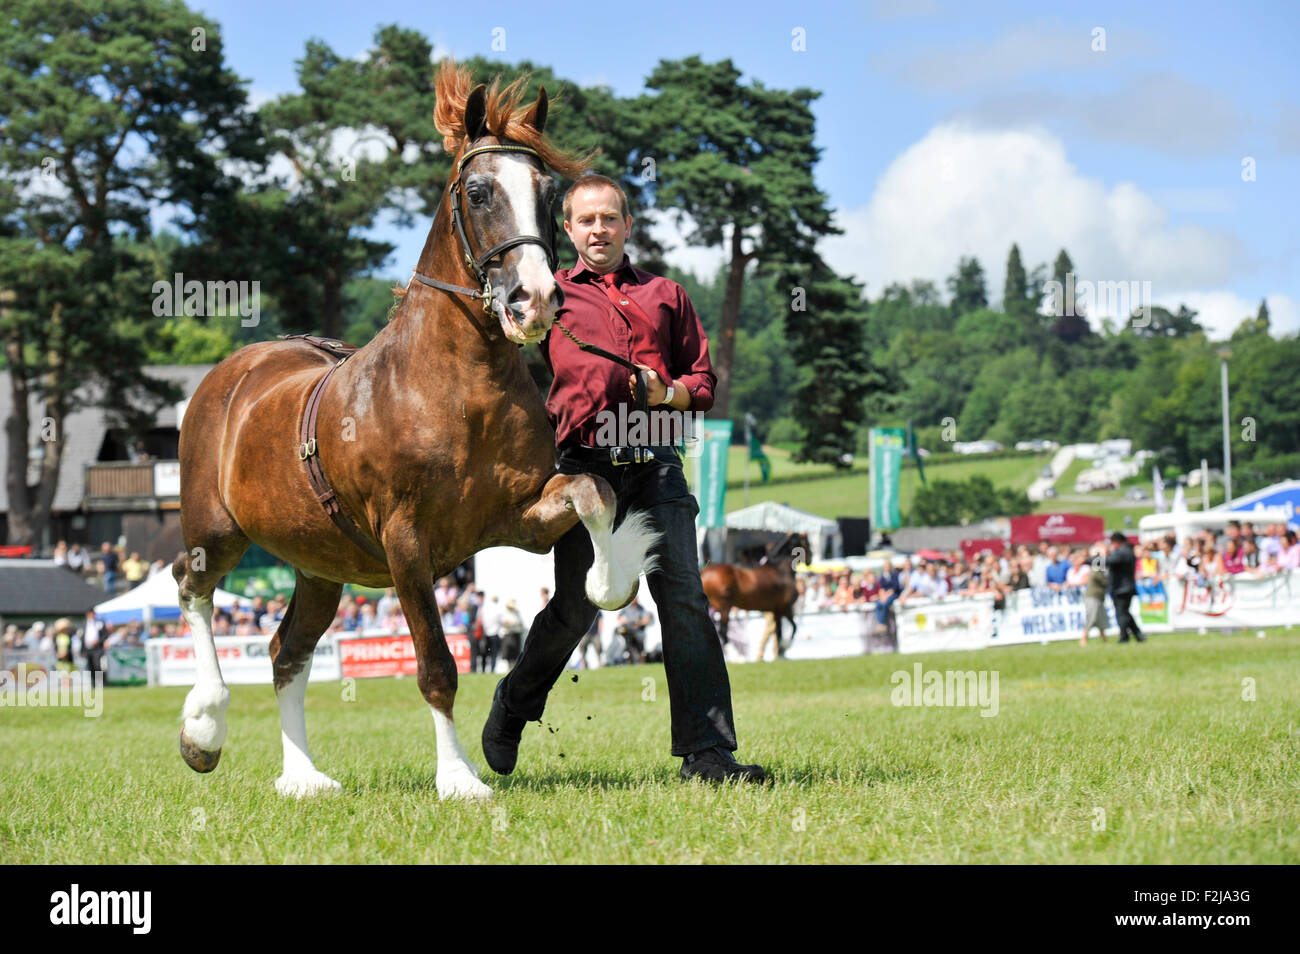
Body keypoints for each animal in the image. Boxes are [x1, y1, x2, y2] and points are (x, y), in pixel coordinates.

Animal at [171, 63, 660, 805]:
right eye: (479, 192)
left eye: (549, 194)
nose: (536, 302)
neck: (456, 388)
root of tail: (232, 374)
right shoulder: (407, 544)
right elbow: (435, 665)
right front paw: (458, 780)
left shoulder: (518, 517)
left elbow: (592, 492)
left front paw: (612, 580)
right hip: (216, 532)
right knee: (190, 587)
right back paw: (203, 728)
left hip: (319, 567)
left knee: (288, 654)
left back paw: (303, 776)